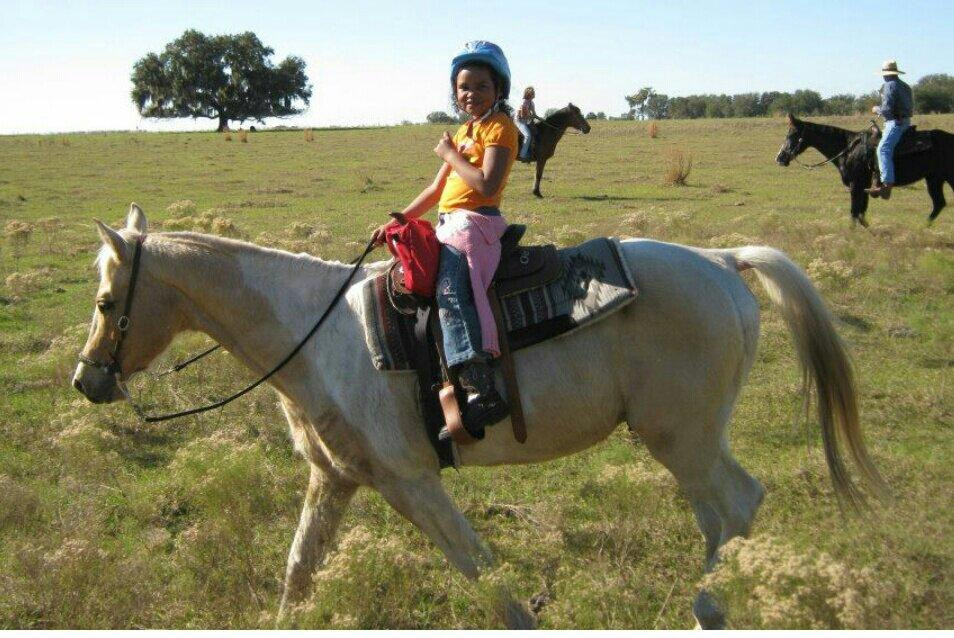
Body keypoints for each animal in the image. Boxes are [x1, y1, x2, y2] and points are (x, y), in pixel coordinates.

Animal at [73, 204, 885, 629]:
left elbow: (482, 573)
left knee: (736, 506)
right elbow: (297, 573)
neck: (316, 333)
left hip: (682, 440)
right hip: (690, 442)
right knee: (727, 514)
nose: (87, 380)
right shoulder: (334, 480)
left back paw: (704, 608)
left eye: (108, 302)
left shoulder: (411, 482)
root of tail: (721, 260)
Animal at [775, 113, 954, 227]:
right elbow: (861, 213)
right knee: (938, 204)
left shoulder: (856, 185)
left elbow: (854, 212)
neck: (847, 149)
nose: (779, 158)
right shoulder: (865, 186)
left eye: (792, 134)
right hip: (934, 179)